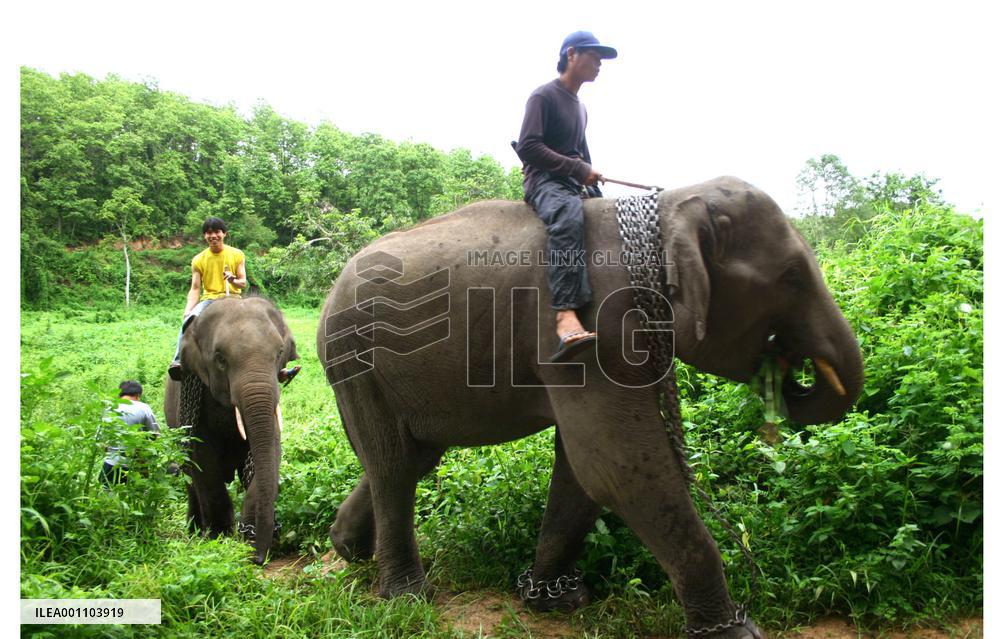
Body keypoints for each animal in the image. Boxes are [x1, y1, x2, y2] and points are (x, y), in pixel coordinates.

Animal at [165, 296, 298, 564]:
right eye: (220, 359)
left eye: (279, 353)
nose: (258, 558)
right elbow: (201, 457)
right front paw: (220, 539)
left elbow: (272, 449)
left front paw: (248, 537)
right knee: (189, 479)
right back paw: (195, 531)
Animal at [317, 176, 863, 638]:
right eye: (792, 276)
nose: (787, 375)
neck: (666, 208)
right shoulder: (592, 331)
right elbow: (617, 468)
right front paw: (734, 633)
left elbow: (584, 471)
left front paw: (554, 600)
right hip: (354, 357)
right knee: (394, 465)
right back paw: (406, 597)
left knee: (415, 456)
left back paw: (348, 549)